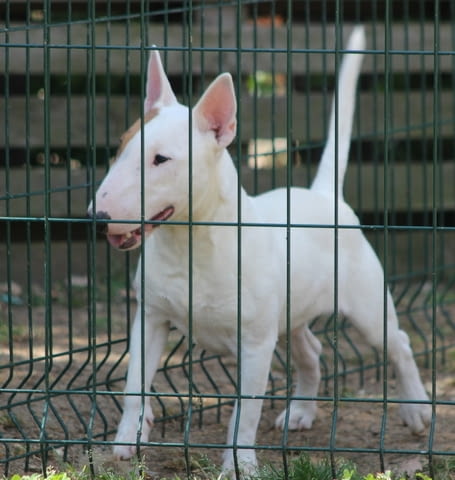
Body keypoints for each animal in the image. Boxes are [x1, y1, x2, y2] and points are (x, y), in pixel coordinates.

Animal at [88, 27, 432, 476]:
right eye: (119, 147)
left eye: (161, 159)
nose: (97, 217)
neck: (191, 243)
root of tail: (324, 196)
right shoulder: (150, 318)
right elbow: (134, 385)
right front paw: (128, 440)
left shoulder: (254, 343)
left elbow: (245, 410)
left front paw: (239, 464)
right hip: (290, 318)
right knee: (313, 352)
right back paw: (301, 411)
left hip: (367, 306)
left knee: (400, 343)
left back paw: (416, 409)